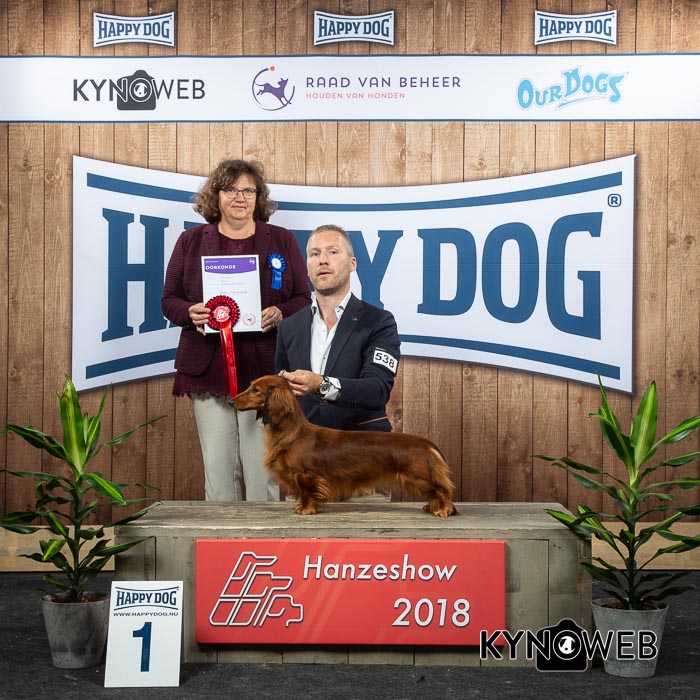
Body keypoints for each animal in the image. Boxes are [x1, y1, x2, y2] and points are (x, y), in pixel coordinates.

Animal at [232, 375, 458, 517]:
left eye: (255, 390)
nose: (231, 402)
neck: (292, 434)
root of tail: (425, 443)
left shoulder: (305, 475)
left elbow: (306, 493)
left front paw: (305, 509)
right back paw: (431, 506)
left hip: (418, 478)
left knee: (442, 490)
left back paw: (444, 509)